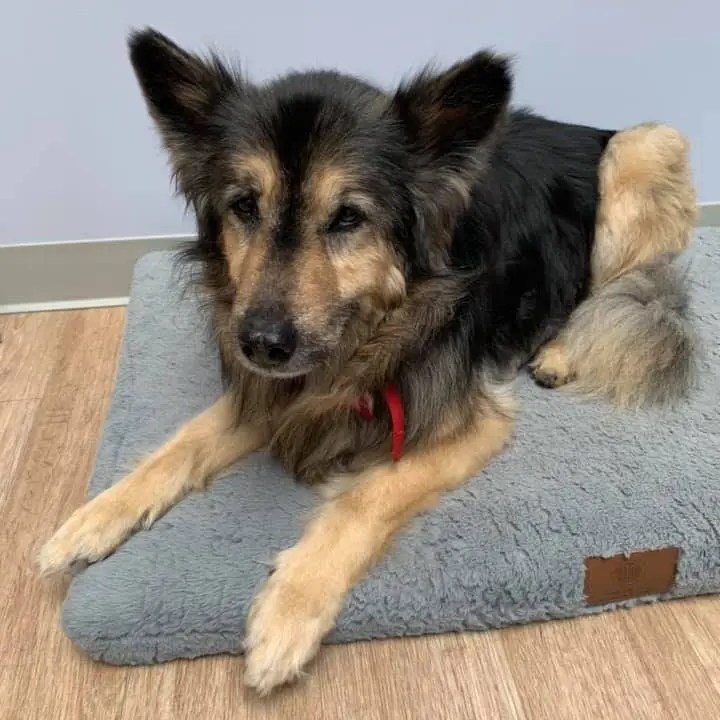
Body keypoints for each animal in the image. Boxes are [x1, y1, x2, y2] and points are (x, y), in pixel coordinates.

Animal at [37, 28, 697, 694]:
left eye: (348, 217)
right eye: (245, 206)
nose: (261, 343)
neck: (369, 332)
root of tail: (591, 128)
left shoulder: (470, 421)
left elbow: (364, 498)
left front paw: (287, 611)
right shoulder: (277, 391)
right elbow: (182, 444)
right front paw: (93, 518)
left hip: (644, 147)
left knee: (608, 289)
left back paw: (559, 351)